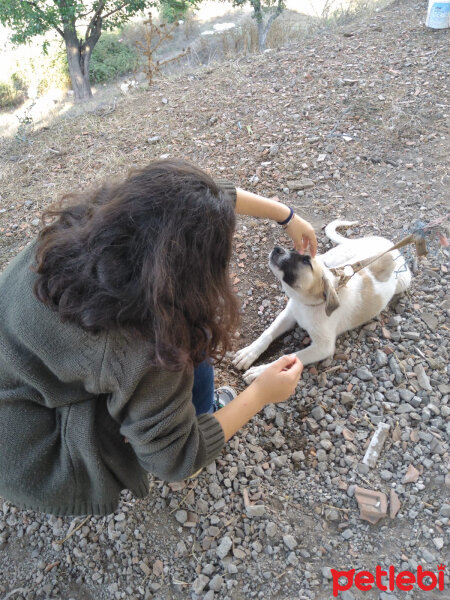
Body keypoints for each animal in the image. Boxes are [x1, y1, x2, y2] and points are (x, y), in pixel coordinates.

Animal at [232, 220, 412, 384]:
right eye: (294, 250)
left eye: (306, 261)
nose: (277, 248)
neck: (306, 304)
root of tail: (389, 245)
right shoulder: (289, 314)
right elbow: (267, 334)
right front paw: (248, 354)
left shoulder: (323, 347)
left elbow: (288, 356)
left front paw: (261, 372)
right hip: (333, 258)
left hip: (404, 281)